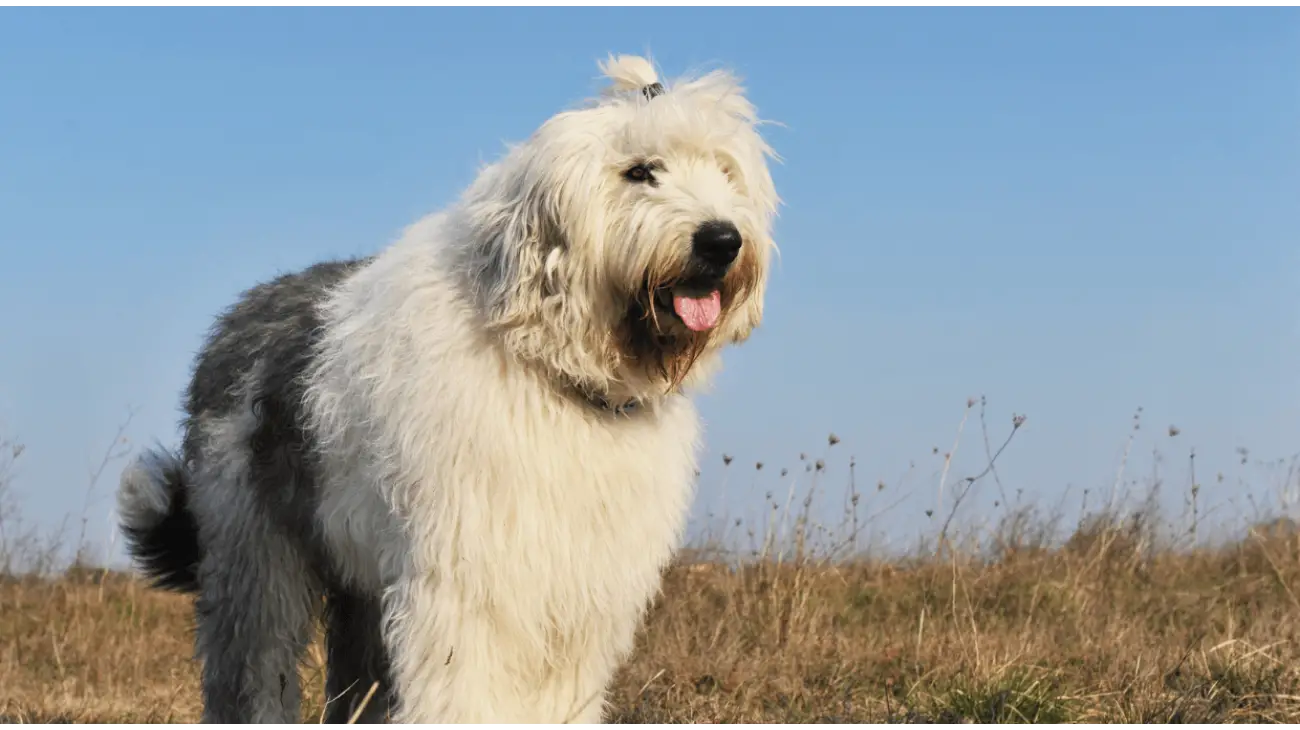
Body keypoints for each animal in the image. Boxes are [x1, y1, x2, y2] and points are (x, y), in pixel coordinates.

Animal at [116, 53, 774, 722]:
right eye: (640, 171)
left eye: (725, 171)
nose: (722, 240)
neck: (551, 366)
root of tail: (242, 311)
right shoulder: (468, 586)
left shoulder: (579, 599)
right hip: (254, 552)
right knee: (254, 666)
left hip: (360, 581)